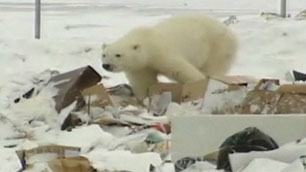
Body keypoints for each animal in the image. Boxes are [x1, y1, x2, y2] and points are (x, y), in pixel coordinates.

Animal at [101, 14, 238, 101]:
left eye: (118, 55)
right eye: (104, 54)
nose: (106, 65)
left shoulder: (161, 52)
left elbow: (180, 69)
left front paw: (197, 83)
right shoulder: (140, 67)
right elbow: (143, 82)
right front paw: (144, 98)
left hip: (218, 48)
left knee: (213, 68)